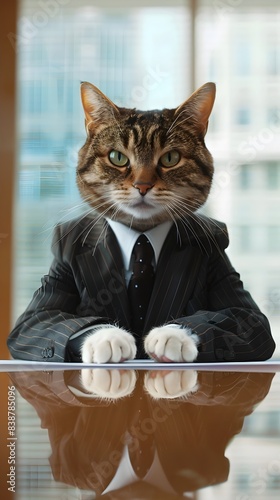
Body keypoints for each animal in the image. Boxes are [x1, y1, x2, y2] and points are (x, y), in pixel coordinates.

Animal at [76, 81, 214, 364]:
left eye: (170, 158)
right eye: (117, 157)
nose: (142, 185)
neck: (141, 236)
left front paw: (172, 336)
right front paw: (108, 338)